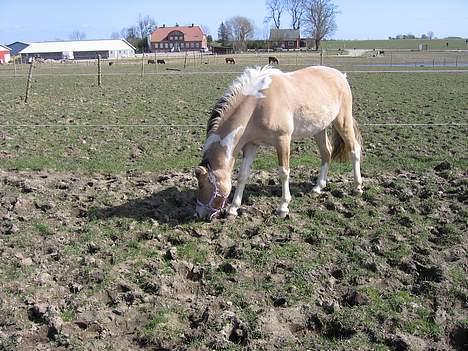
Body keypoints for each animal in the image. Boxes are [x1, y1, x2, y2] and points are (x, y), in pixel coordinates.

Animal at [194, 65, 362, 220]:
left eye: (202, 184)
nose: (199, 214)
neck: (258, 104)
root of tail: (341, 75)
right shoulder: (251, 145)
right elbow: (243, 175)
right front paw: (233, 209)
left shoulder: (283, 141)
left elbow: (283, 173)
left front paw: (283, 207)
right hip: (319, 129)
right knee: (326, 153)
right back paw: (318, 187)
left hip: (342, 122)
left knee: (354, 150)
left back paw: (358, 187)